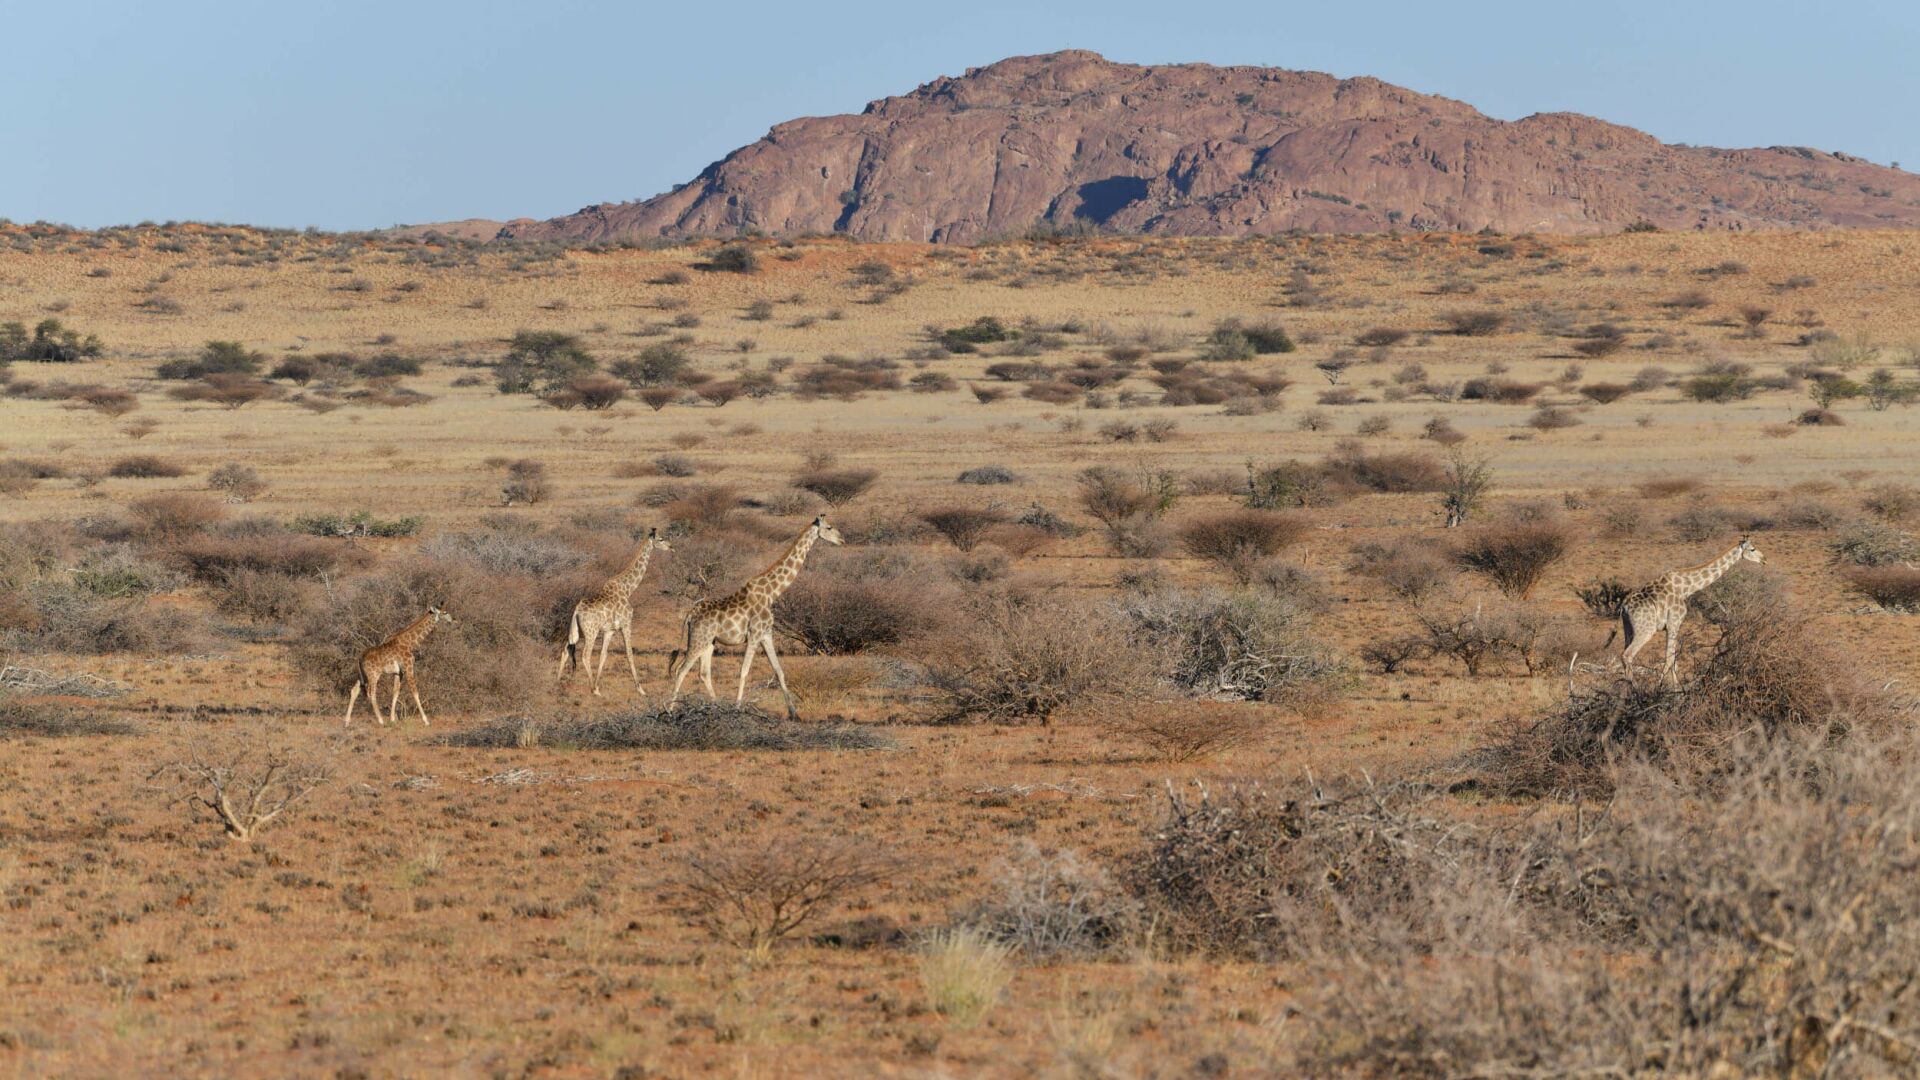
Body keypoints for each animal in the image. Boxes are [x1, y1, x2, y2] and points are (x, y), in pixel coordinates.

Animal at [560, 526, 672, 691]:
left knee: (565, 650)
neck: (628, 589)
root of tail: (577, 611)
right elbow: (629, 654)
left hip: (575, 631)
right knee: (585, 655)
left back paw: (558, 681)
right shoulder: (626, 624)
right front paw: (640, 689)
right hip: (591, 632)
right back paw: (593, 689)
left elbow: (603, 655)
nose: (671, 547)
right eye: (661, 539)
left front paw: (598, 684)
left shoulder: (610, 630)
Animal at [668, 511, 840, 714]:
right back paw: (669, 710)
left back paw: (716, 705)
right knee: (681, 670)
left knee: (703, 673)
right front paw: (737, 707)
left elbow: (779, 671)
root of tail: (689, 616)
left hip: (709, 642)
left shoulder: (766, 634)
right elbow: (744, 671)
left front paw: (793, 713)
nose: (842, 539)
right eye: (829, 527)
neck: (772, 593)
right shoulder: (754, 634)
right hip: (698, 639)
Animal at [1612, 534, 1758, 680]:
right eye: (1752, 549)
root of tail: (1625, 607)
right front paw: (1662, 685)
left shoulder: (1670, 626)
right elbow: (1669, 660)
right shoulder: (1674, 623)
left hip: (1628, 627)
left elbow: (1673, 661)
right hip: (1646, 629)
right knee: (1627, 655)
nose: (1762, 559)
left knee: (1624, 654)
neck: (1686, 588)